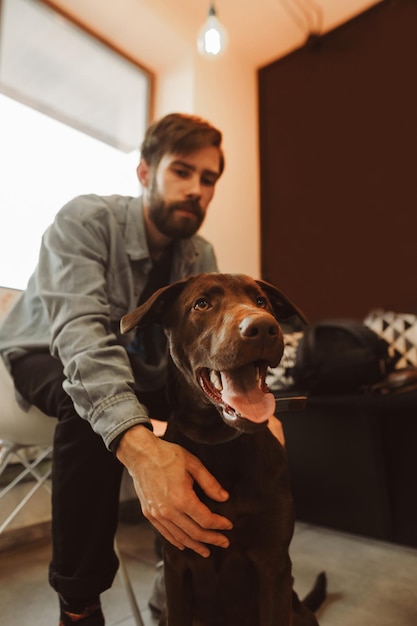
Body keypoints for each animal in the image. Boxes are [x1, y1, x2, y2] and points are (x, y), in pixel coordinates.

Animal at [120, 272, 324, 624]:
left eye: (261, 301)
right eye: (202, 304)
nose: (263, 327)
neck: (219, 444)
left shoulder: (274, 563)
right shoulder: (176, 562)